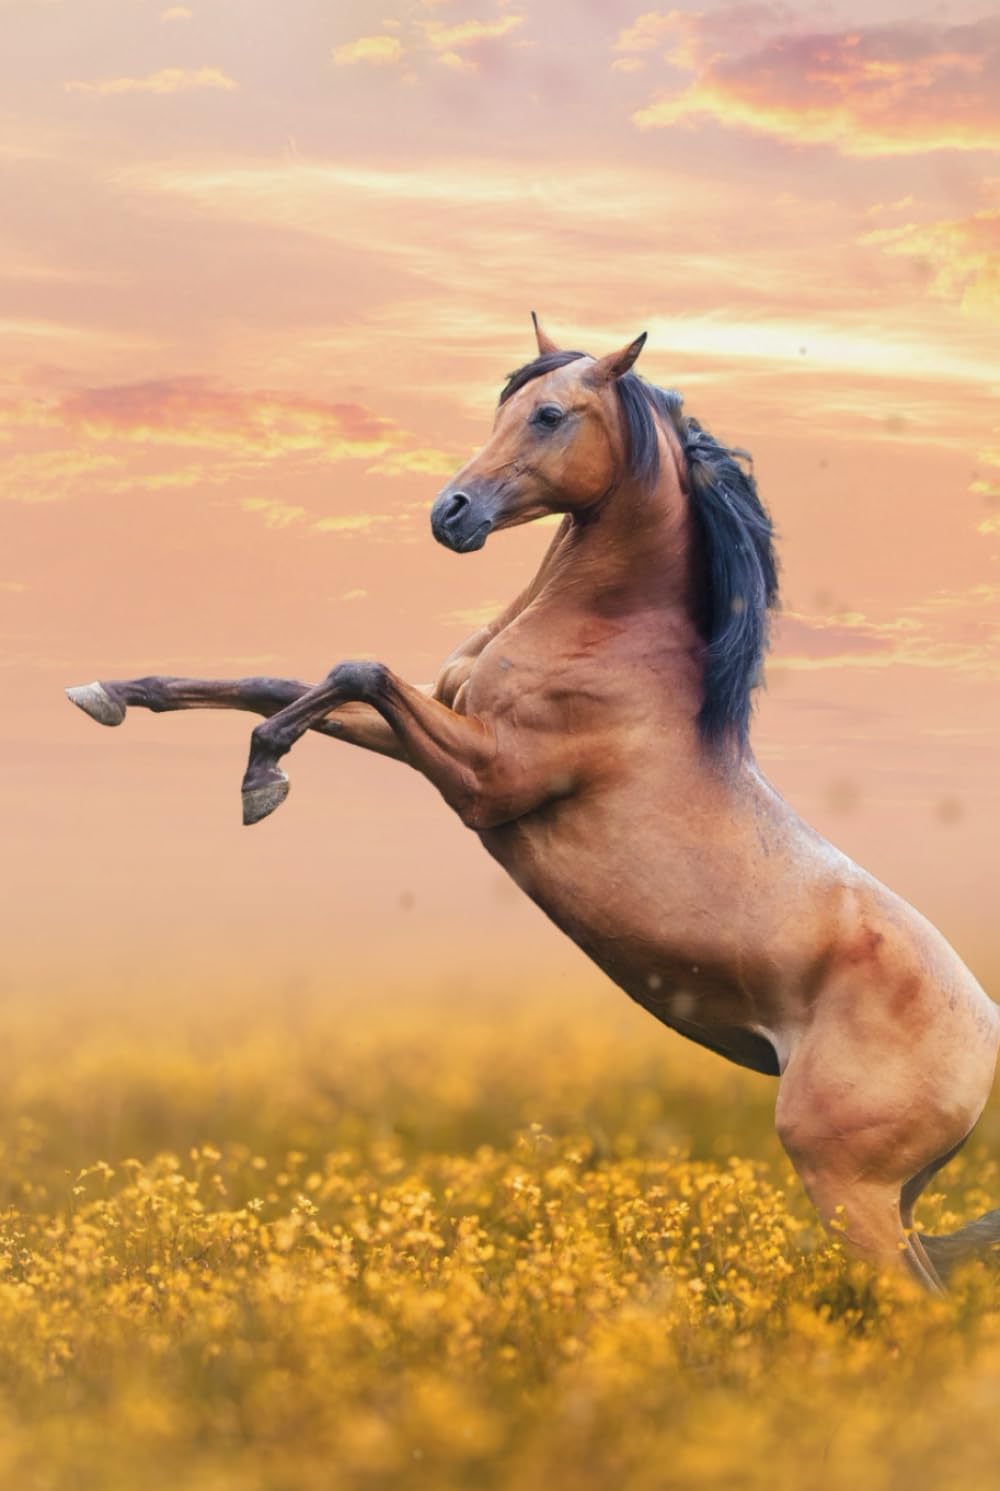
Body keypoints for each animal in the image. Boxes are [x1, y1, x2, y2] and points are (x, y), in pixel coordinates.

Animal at [67, 316, 1000, 1292]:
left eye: (551, 414)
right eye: (504, 406)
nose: (451, 513)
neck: (610, 642)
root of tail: (987, 1046)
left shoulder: (487, 778)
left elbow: (352, 669)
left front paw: (261, 780)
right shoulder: (435, 728)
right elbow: (285, 680)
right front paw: (112, 693)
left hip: (847, 1188)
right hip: (889, 1205)